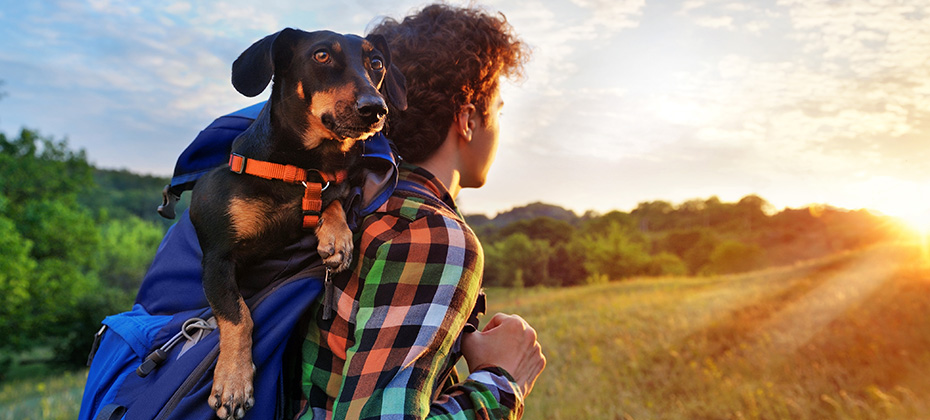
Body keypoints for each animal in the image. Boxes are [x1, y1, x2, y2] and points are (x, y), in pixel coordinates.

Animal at [188, 27, 402, 418]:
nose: (375, 109)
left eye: (377, 62)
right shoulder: (216, 259)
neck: (304, 169)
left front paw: (336, 238)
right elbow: (238, 314)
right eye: (321, 55)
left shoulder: (330, 186)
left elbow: (334, 202)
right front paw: (233, 382)